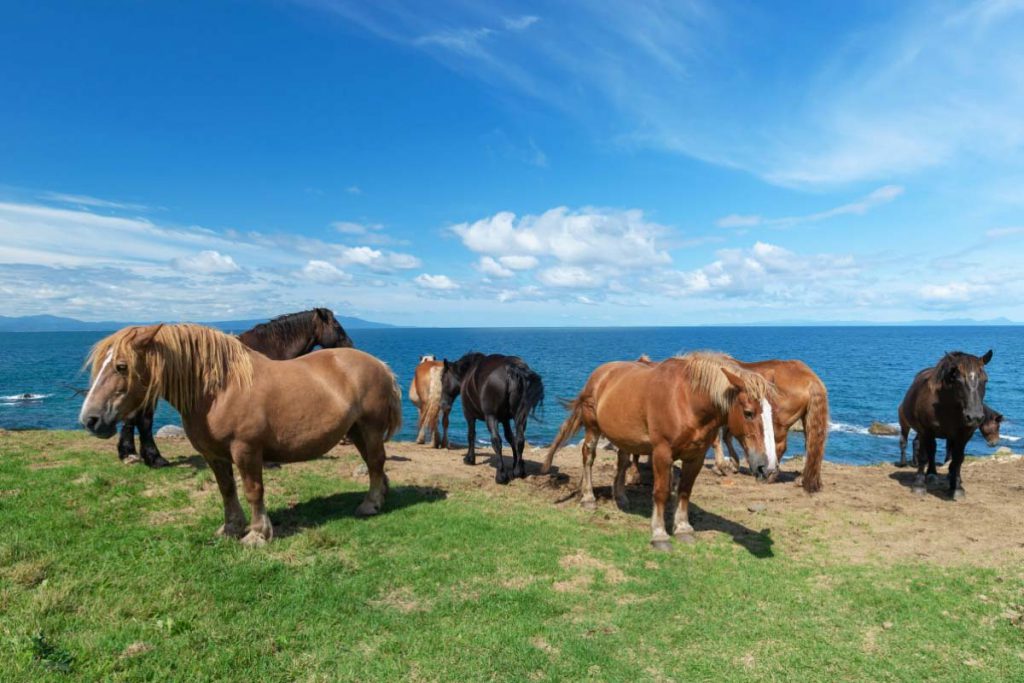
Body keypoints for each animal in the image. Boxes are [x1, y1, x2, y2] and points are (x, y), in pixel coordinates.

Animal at [117, 308, 352, 468]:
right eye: (337, 326)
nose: (351, 347)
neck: (268, 347)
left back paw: (134, 454)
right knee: (142, 421)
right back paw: (150, 457)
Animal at [440, 352, 544, 484]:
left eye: (442, 379)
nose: (442, 404)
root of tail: (511, 369)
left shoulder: (469, 415)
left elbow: (471, 435)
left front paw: (470, 458)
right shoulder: (505, 419)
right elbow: (510, 438)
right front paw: (516, 463)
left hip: (491, 417)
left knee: (496, 441)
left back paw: (501, 475)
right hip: (520, 417)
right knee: (520, 439)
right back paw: (519, 471)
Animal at [541, 352, 777, 550]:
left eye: (771, 413)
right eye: (748, 413)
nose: (768, 467)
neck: (686, 400)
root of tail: (600, 374)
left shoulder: (696, 456)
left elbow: (684, 491)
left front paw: (683, 528)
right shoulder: (662, 453)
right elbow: (661, 492)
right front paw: (659, 534)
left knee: (622, 461)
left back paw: (621, 496)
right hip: (593, 428)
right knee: (588, 457)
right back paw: (588, 498)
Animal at [713, 359, 829, 493]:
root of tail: (811, 379)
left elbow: (720, 438)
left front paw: (723, 466)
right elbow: (726, 436)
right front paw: (732, 464)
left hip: (777, 425)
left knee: (780, 447)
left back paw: (769, 475)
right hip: (806, 419)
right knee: (811, 445)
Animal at [897, 350, 993, 499]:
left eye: (985, 380)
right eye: (958, 380)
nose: (975, 417)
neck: (947, 404)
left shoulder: (964, 435)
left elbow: (958, 459)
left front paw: (957, 487)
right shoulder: (925, 431)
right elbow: (924, 455)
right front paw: (919, 485)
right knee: (929, 450)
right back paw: (931, 474)